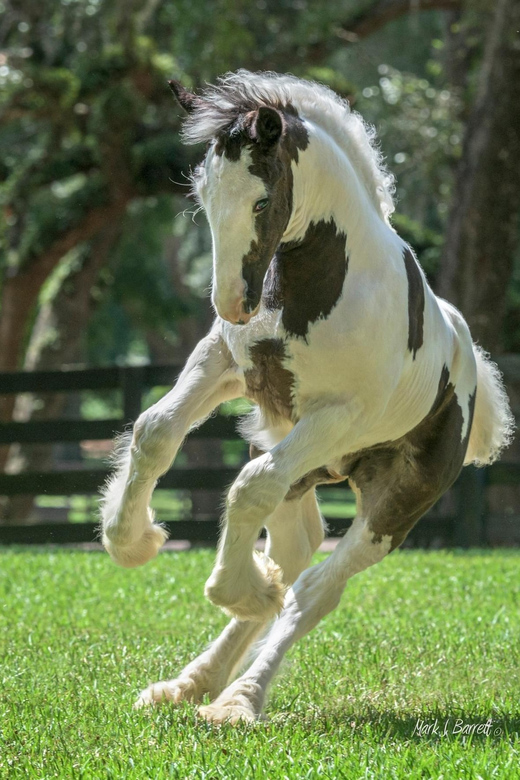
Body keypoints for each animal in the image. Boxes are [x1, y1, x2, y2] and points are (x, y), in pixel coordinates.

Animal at [99, 70, 512, 724]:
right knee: (294, 549)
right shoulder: (225, 364)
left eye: (262, 201)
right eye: (203, 198)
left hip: (390, 500)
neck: (318, 285)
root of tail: (468, 361)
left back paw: (239, 698)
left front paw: (241, 591)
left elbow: (249, 488)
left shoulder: (339, 414)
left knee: (313, 587)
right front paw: (133, 542)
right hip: (297, 459)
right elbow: (155, 430)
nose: (232, 304)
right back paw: (190, 684)